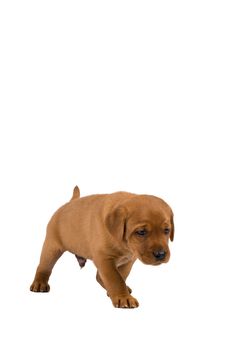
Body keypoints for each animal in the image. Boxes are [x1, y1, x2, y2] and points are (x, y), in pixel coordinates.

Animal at [30, 187, 174, 308]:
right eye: (141, 232)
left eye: (167, 230)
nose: (161, 254)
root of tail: (70, 202)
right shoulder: (104, 258)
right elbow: (115, 278)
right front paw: (124, 297)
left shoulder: (128, 260)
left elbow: (121, 275)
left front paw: (119, 292)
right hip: (51, 246)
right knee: (43, 267)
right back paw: (39, 284)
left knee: (99, 276)